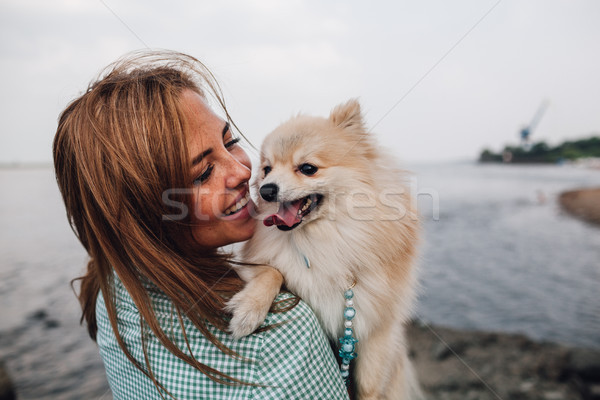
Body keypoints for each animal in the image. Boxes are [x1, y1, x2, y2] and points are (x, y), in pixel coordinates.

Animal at [226, 100, 422, 400]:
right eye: (267, 169)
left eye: (308, 168)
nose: (267, 189)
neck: (321, 238)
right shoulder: (250, 262)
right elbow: (273, 272)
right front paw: (249, 310)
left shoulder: (377, 330)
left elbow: (368, 386)